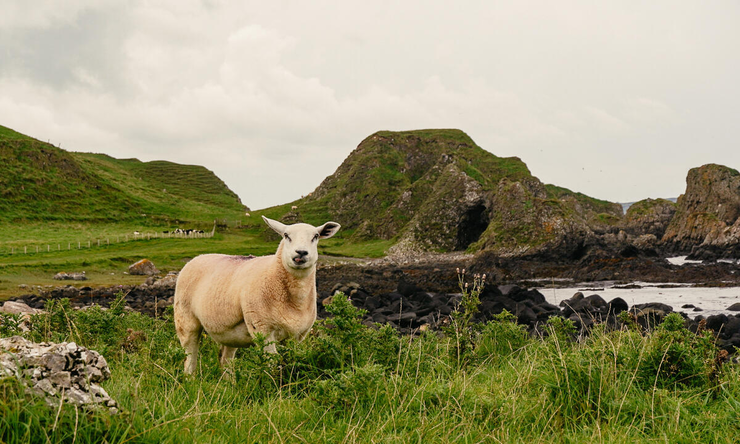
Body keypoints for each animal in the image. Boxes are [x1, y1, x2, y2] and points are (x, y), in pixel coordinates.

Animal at [173, 216, 341, 374]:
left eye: (315, 236)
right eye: (286, 235)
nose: (301, 252)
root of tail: (198, 257)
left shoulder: (298, 336)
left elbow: (291, 362)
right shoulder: (262, 328)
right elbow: (273, 364)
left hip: (229, 332)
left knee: (226, 359)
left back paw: (230, 383)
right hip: (185, 319)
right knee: (190, 355)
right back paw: (190, 378)